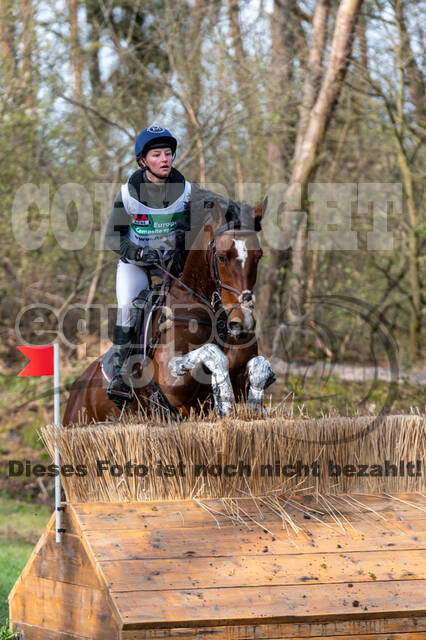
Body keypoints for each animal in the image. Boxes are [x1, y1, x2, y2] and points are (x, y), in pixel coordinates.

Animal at [63, 198, 276, 422]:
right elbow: (213, 353)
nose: (242, 323)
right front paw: (224, 404)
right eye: (221, 257)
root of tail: (77, 386)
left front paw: (253, 406)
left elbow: (259, 365)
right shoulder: (172, 384)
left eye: (258, 256)